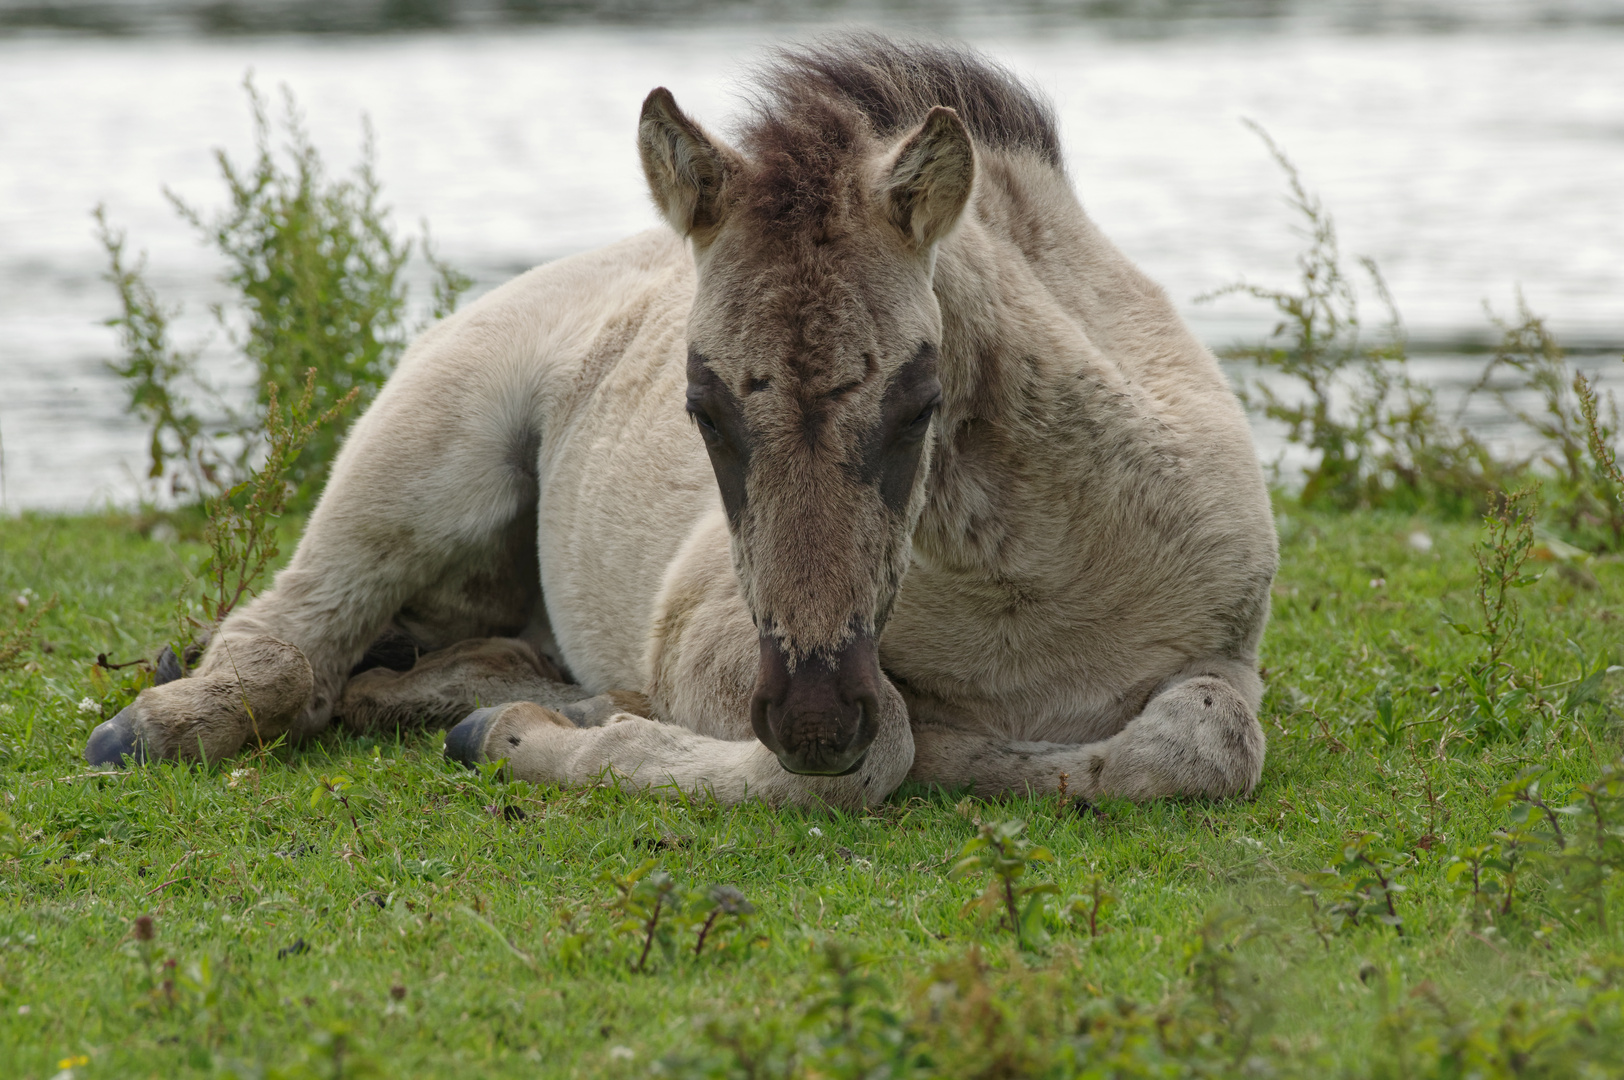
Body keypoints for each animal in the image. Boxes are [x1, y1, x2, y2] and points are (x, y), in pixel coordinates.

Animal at [85, 35, 1279, 808]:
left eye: (920, 402)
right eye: (699, 406)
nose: (811, 715)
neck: (1025, 590)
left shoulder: (1224, 653)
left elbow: (1208, 742)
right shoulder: (714, 647)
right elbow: (879, 753)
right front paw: (519, 742)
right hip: (422, 455)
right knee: (289, 634)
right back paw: (164, 722)